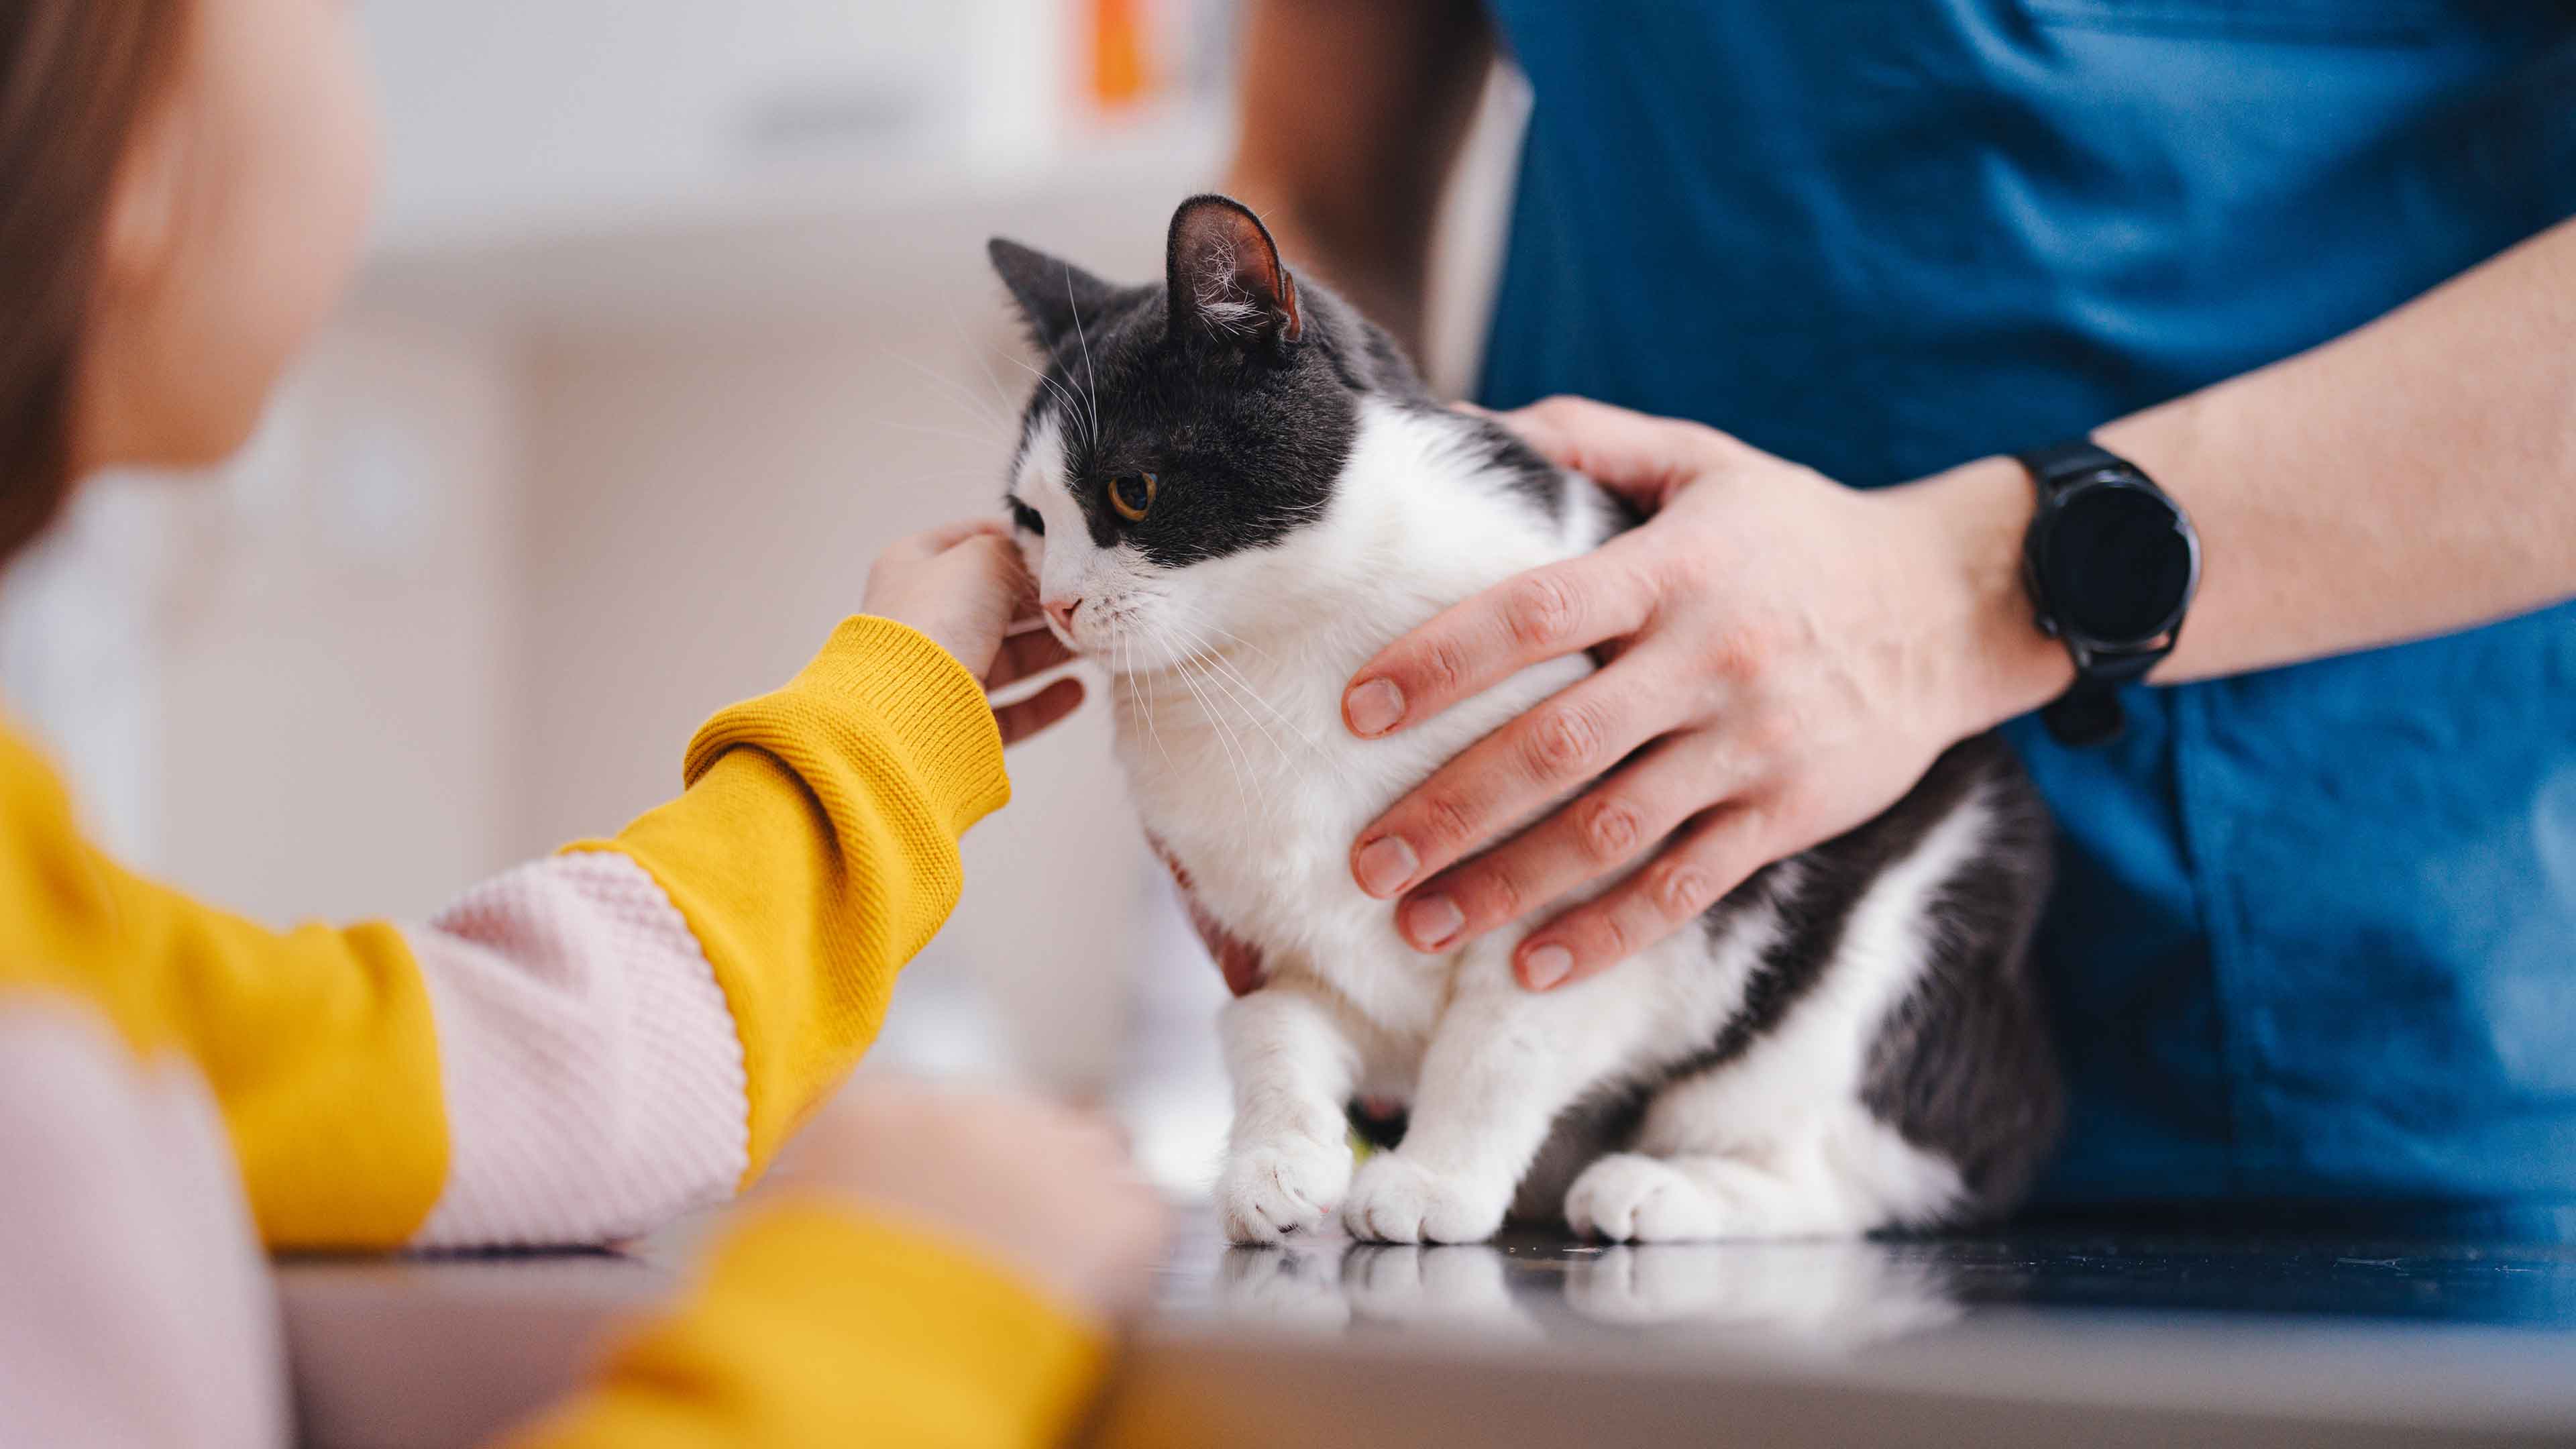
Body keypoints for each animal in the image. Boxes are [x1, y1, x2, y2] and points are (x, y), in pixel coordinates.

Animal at [989, 195, 2071, 1242]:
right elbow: (1271, 1033)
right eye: (1030, 520)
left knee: (1849, 1175)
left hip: (1887, 949)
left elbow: (1498, 1046)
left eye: (1132, 492)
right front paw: (1276, 1162)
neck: (1274, 660)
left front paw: (1434, 1184)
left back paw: (1660, 1191)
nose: (1058, 604)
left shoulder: (1584, 908)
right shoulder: (1298, 951)